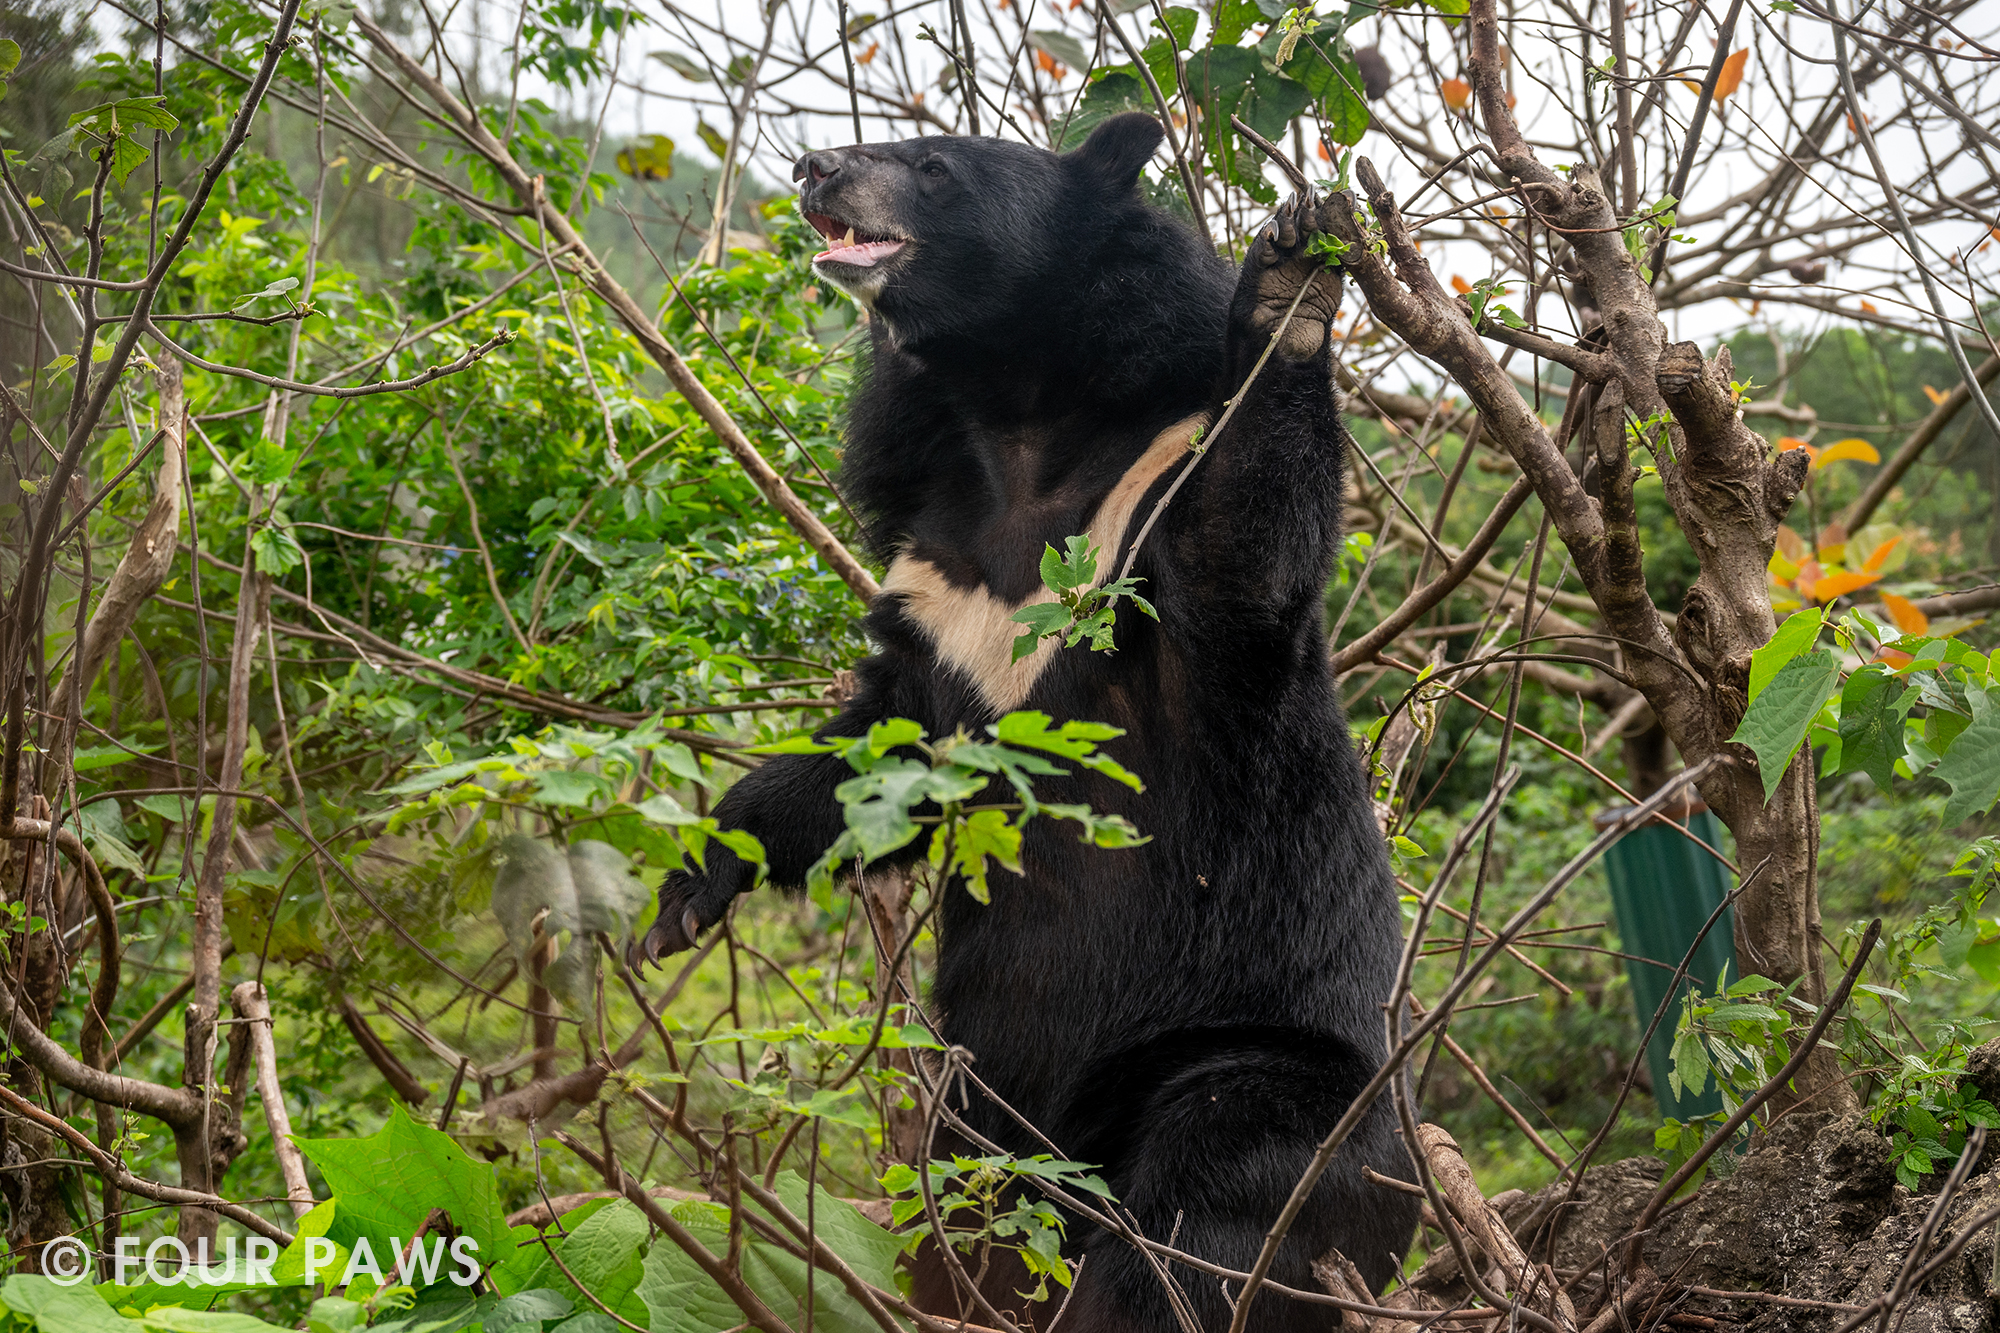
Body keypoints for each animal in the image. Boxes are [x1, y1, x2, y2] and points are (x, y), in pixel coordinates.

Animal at [644, 116, 1424, 1328]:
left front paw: (1293, 273)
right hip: (985, 1115)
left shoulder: (1156, 503)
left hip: (1267, 1069)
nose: (819, 167)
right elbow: (876, 755)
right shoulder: (937, 583)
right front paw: (690, 887)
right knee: (978, 1211)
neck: (1014, 420)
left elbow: (1242, 549)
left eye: (932, 167)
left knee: (1205, 1214)